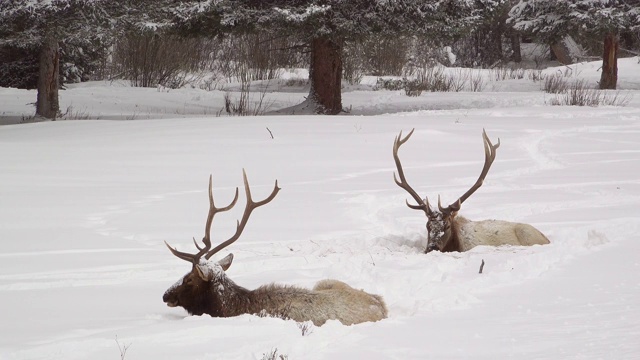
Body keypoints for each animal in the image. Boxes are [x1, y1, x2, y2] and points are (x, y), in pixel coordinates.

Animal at [392, 129, 548, 253]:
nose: (431, 248)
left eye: (447, 225)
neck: (457, 244)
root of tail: (547, 239)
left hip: (526, 233)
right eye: (427, 226)